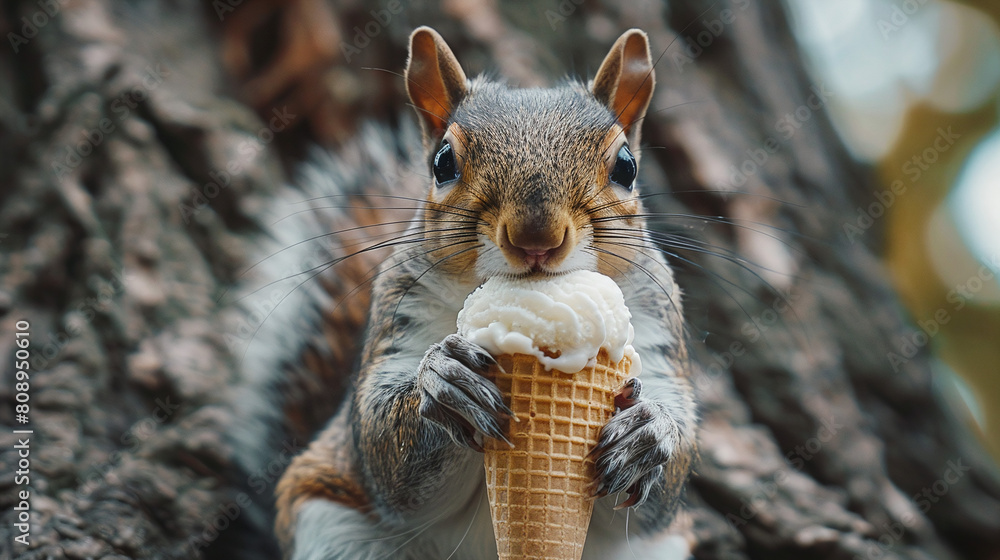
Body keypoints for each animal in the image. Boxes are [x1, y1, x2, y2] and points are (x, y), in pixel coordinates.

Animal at [261, 26, 698, 560]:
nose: (536, 238)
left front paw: (650, 434)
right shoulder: (397, 314)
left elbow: (665, 488)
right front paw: (443, 384)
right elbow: (384, 455)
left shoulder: (656, 329)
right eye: (442, 162)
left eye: (627, 167)